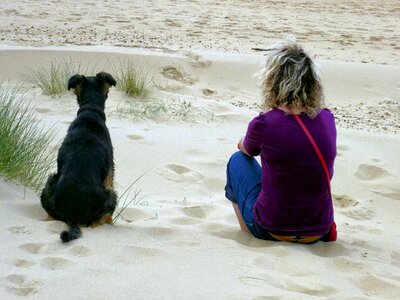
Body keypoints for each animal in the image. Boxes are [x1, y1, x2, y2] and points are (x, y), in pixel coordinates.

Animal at [41, 72, 118, 244]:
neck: (90, 110)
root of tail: (73, 215)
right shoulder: (110, 173)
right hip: (110, 195)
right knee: (100, 221)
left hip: (50, 182)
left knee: (50, 216)